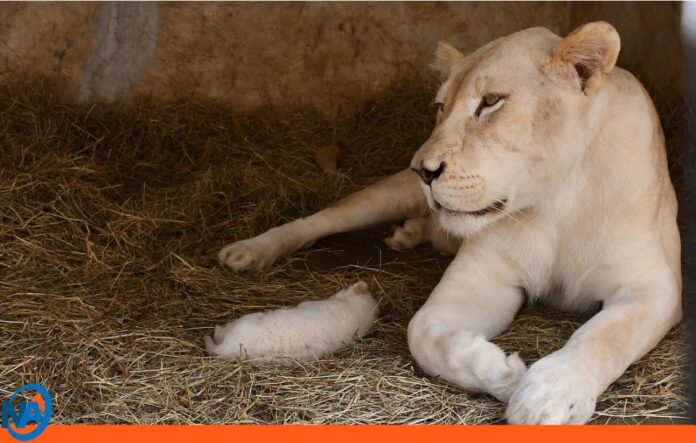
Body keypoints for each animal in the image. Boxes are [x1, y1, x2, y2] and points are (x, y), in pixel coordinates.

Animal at [216, 22, 682, 424]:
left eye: (491, 101)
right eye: (441, 107)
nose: (424, 170)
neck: (551, 204)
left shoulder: (654, 287)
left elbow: (605, 335)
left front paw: (548, 397)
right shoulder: (484, 276)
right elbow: (422, 332)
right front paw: (503, 372)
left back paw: (411, 233)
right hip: (384, 195)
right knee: (324, 218)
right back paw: (251, 250)